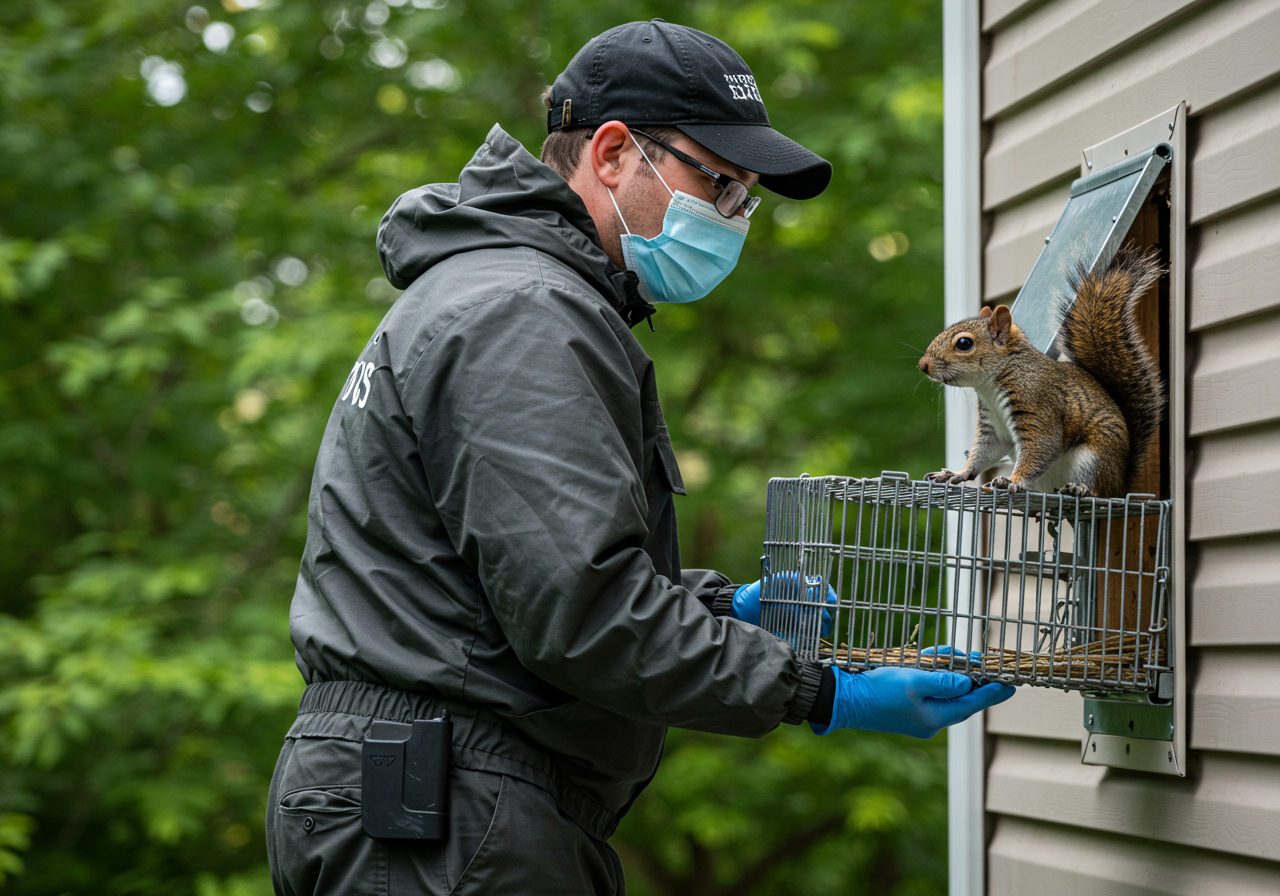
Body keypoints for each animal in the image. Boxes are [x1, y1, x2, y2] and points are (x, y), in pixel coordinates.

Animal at [917, 248, 1164, 498]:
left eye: (964, 343)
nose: (923, 364)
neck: (991, 386)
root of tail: (1121, 484)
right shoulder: (993, 426)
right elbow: (984, 453)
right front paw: (957, 473)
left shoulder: (1036, 404)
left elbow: (1042, 445)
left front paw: (1011, 480)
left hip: (1093, 459)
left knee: (1099, 491)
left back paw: (1080, 488)